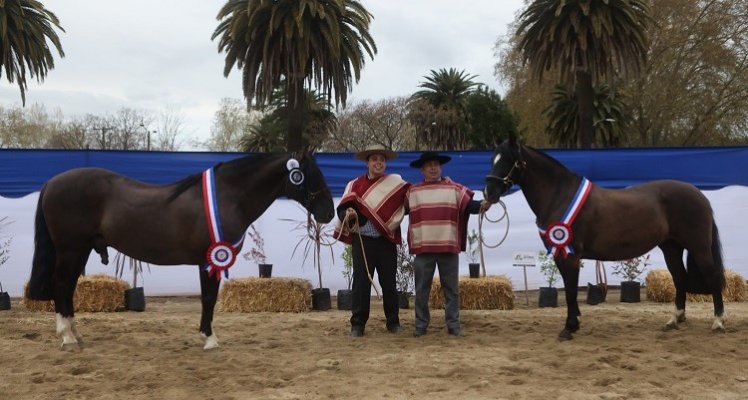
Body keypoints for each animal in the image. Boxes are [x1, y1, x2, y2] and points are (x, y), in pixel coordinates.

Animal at [27, 153, 334, 350]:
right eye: (311, 178)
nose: (329, 213)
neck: (227, 197)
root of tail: (52, 182)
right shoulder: (208, 261)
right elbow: (209, 298)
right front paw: (209, 339)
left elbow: (208, 299)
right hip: (70, 249)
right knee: (61, 284)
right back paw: (67, 337)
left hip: (80, 249)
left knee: (67, 287)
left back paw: (76, 334)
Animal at [486, 139, 724, 340]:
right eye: (493, 159)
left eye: (508, 160)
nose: (489, 192)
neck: (559, 196)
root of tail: (699, 194)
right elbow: (570, 288)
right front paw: (575, 323)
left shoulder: (570, 255)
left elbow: (571, 290)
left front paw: (569, 328)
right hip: (671, 248)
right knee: (680, 278)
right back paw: (675, 320)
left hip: (698, 246)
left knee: (712, 277)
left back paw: (718, 322)